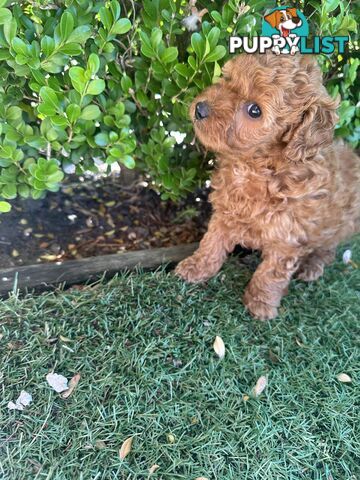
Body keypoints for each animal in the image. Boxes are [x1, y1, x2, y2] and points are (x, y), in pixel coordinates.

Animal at [176, 53, 360, 318]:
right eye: (228, 79)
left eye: (255, 110)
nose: (200, 108)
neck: (256, 166)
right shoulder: (225, 213)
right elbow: (211, 243)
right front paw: (196, 267)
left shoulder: (288, 237)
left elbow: (271, 273)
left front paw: (260, 302)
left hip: (339, 224)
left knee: (327, 249)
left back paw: (312, 266)